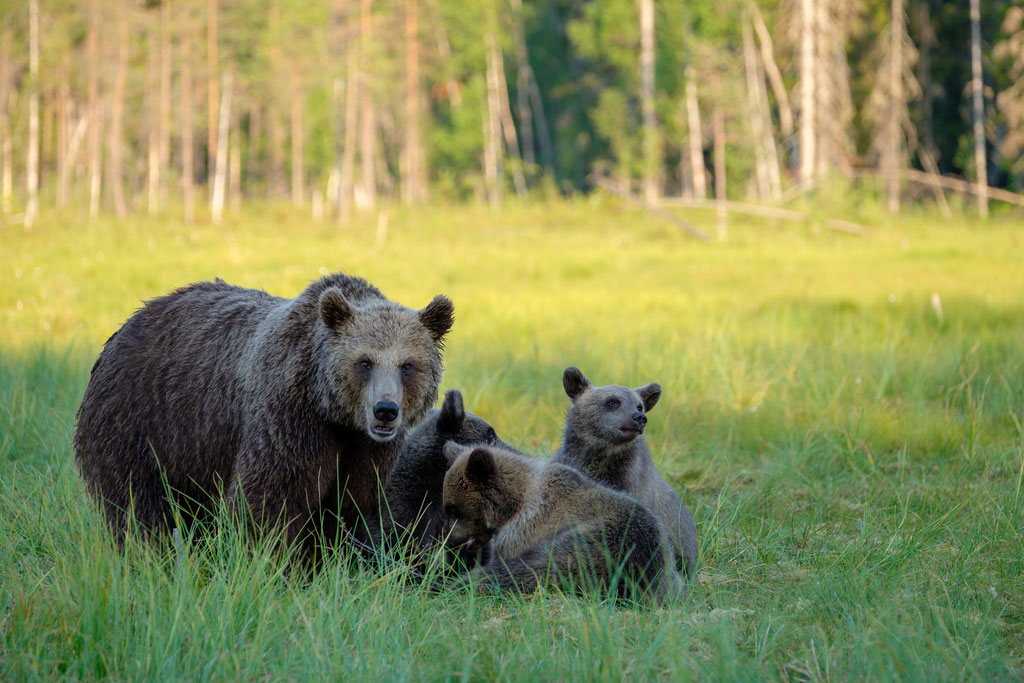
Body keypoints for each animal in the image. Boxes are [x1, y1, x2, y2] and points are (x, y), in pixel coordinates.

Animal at [72, 270, 452, 565]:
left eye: (407, 365)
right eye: (364, 362)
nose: (385, 410)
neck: (335, 415)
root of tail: (128, 322)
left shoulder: (365, 452)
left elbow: (345, 508)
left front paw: (325, 561)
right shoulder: (288, 418)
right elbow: (268, 500)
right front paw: (274, 565)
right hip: (141, 420)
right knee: (137, 506)